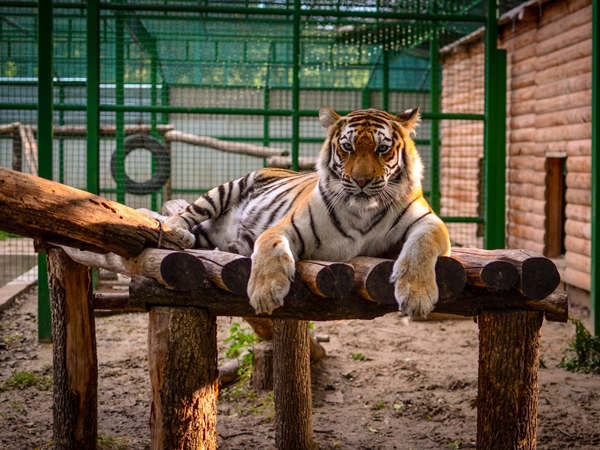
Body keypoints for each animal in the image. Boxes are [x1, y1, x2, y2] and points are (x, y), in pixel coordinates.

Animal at [164, 106, 450, 318]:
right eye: (348, 147)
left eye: (382, 148)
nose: (361, 181)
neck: (363, 211)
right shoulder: (287, 226)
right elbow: (271, 247)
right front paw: (265, 292)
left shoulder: (430, 223)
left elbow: (420, 247)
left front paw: (416, 295)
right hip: (228, 189)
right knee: (185, 213)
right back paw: (177, 233)